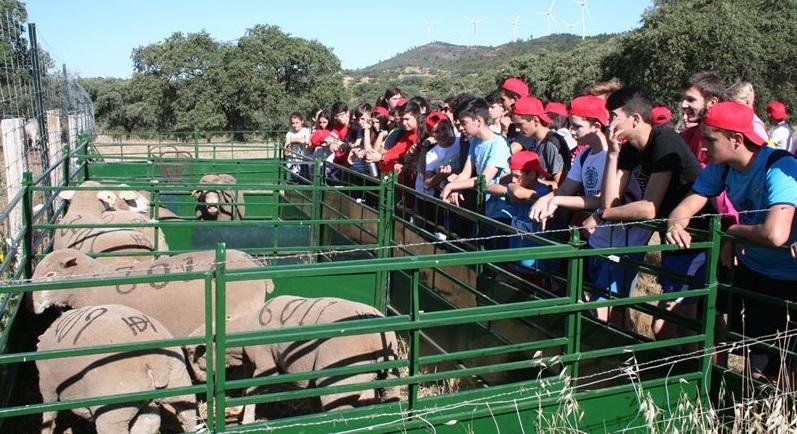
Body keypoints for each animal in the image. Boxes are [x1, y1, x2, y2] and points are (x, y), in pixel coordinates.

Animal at [36, 304, 199, 434]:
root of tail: (154, 358)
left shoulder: (47, 385)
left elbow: (49, 415)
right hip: (179, 381)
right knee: (182, 415)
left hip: (113, 409)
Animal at [185, 294, 398, 424]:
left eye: (193, 354)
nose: (199, 381)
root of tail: (375, 338)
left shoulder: (266, 364)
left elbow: (251, 392)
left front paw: (245, 419)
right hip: (390, 374)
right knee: (391, 395)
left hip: (340, 383)